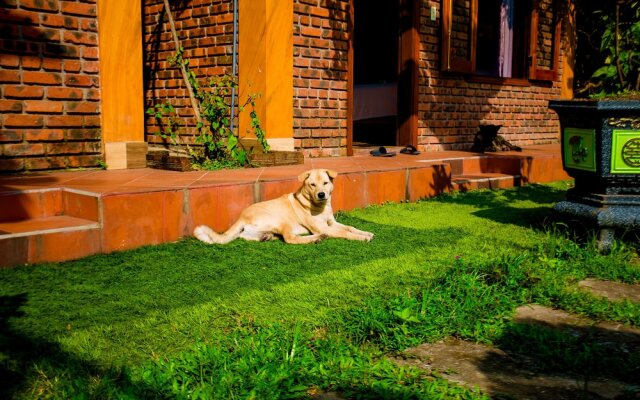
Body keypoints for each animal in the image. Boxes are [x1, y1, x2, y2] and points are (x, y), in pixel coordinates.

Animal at [195, 169, 376, 244]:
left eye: (325, 183)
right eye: (312, 185)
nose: (321, 194)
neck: (320, 207)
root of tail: (241, 217)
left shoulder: (332, 223)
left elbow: (350, 227)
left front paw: (365, 232)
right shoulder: (324, 227)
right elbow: (345, 233)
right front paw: (361, 238)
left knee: (245, 236)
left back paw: (267, 237)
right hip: (281, 220)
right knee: (290, 239)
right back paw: (316, 238)